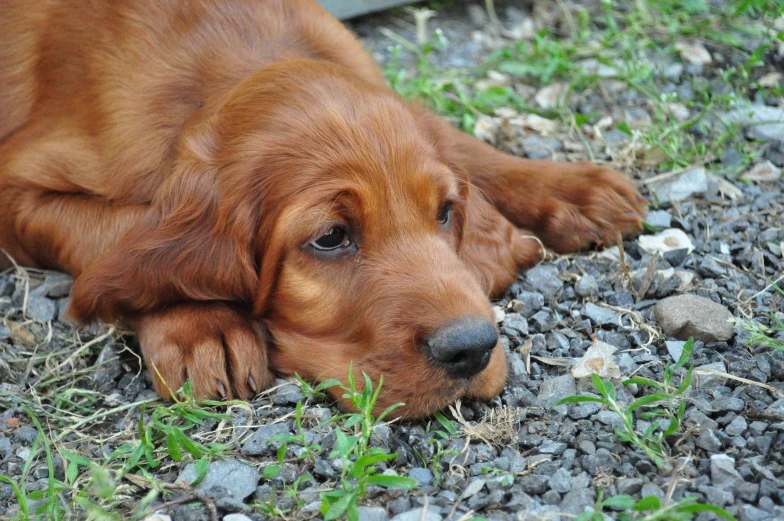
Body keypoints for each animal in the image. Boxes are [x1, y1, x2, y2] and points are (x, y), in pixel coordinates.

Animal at [0, 0, 644, 416]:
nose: (472, 348)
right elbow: (123, 233)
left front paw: (570, 186)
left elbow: (453, 138)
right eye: (331, 237)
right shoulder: (15, 186)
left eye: (444, 213)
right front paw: (203, 327)